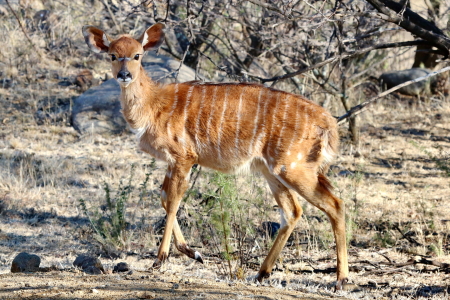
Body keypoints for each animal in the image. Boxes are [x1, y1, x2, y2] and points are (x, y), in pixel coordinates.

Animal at [82, 22, 350, 290]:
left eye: (138, 55)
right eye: (112, 55)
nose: (124, 75)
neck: (154, 105)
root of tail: (328, 122)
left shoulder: (184, 157)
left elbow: (173, 201)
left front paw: (160, 259)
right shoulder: (172, 162)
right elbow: (165, 199)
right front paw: (194, 253)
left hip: (292, 167)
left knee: (334, 204)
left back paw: (341, 279)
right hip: (271, 171)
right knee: (293, 212)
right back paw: (261, 273)